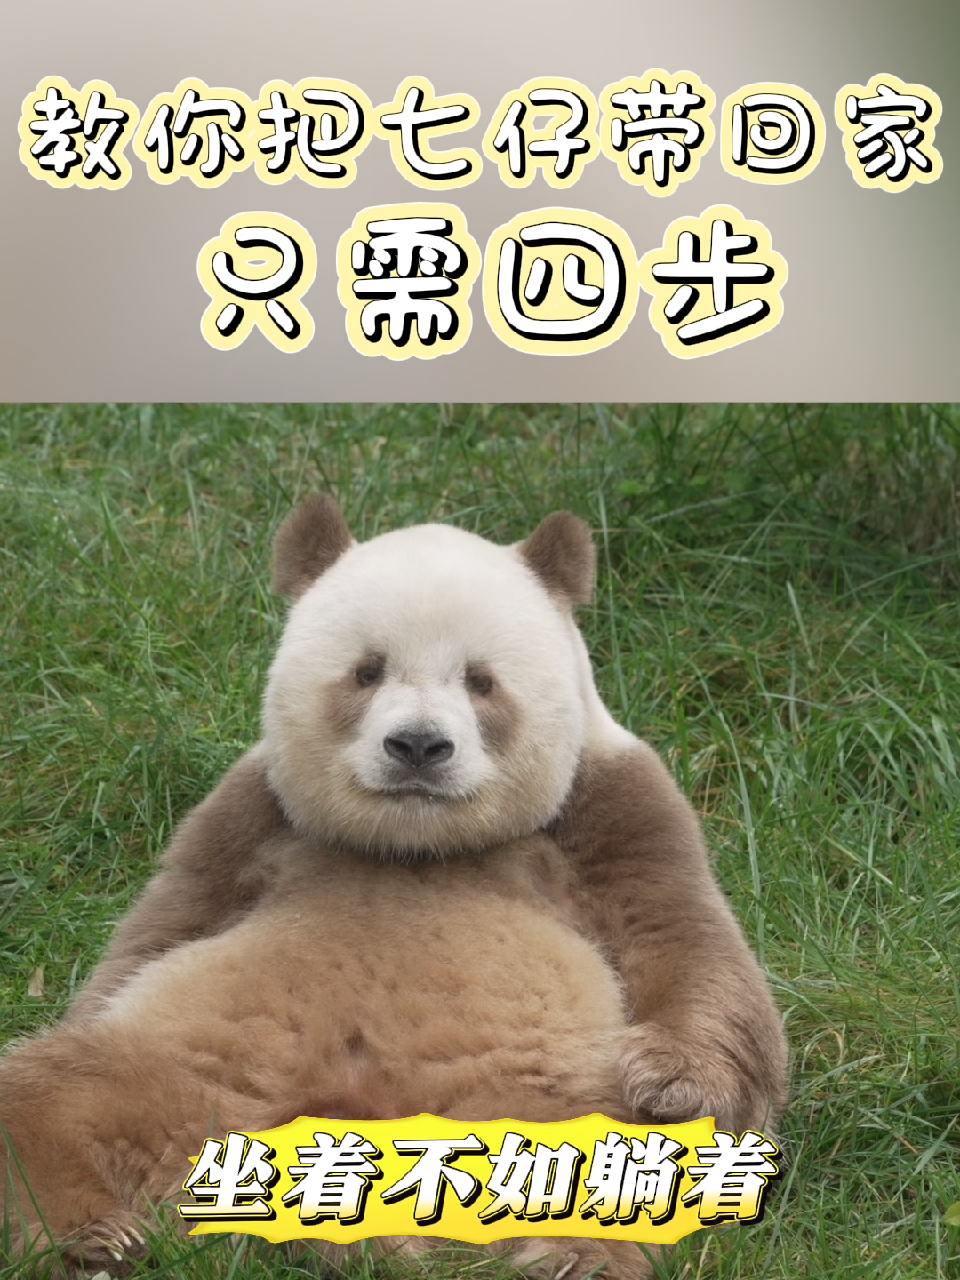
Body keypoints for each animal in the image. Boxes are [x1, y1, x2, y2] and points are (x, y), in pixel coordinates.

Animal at [0, 497, 788, 1280]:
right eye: (367, 671)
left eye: (480, 680)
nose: (417, 745)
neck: (416, 843)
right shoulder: (250, 816)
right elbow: (157, 935)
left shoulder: (610, 805)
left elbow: (683, 942)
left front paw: (671, 1083)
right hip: (194, 1078)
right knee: (48, 1096)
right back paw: (91, 1238)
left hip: (531, 1103)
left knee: (605, 1168)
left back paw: (566, 1256)